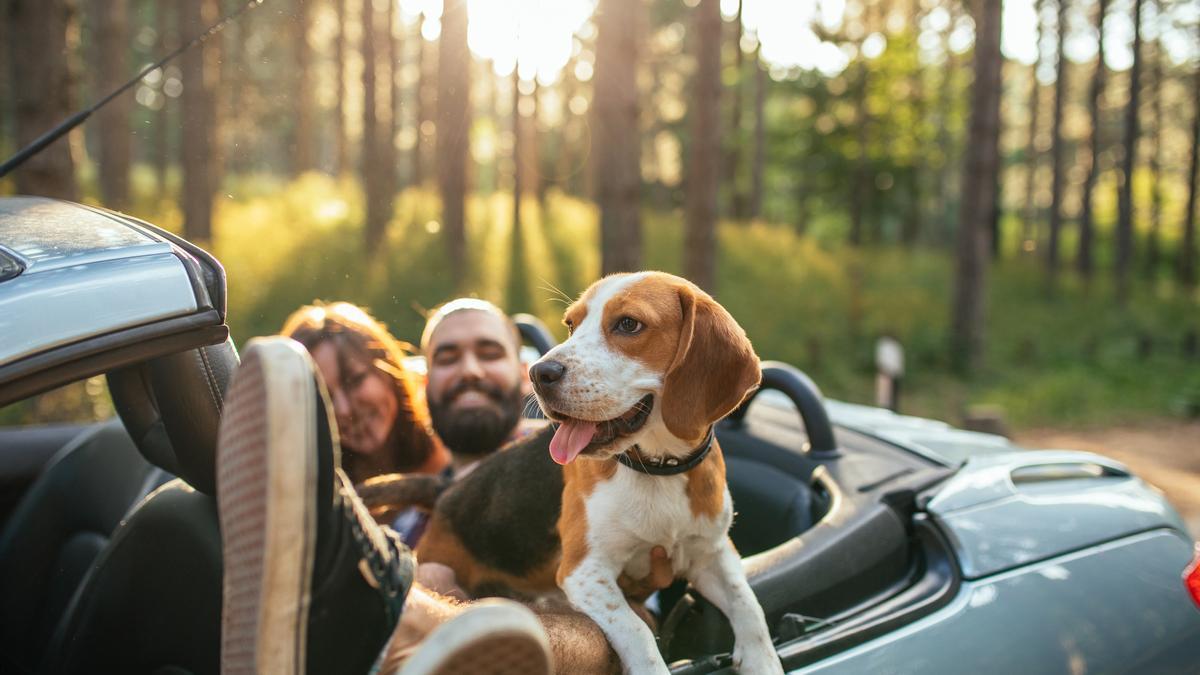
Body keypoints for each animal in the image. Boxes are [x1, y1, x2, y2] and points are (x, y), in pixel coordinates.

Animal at [530, 269, 782, 672]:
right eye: (571, 324)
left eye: (628, 324)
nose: (538, 372)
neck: (661, 470)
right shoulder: (584, 569)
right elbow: (636, 630)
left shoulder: (712, 553)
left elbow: (747, 603)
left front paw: (763, 661)